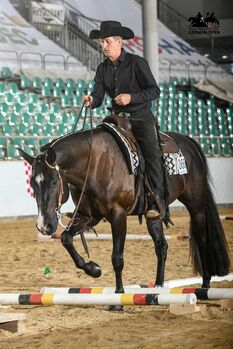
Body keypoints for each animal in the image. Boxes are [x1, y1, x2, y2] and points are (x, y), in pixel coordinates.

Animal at [18, 121, 231, 306]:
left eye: (54, 182)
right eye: (33, 185)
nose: (44, 226)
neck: (94, 163)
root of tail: (188, 142)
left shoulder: (118, 215)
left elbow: (117, 258)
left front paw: (118, 297)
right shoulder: (88, 217)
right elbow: (65, 238)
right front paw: (93, 269)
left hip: (196, 205)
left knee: (202, 240)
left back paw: (204, 286)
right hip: (153, 215)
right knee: (161, 246)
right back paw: (158, 286)